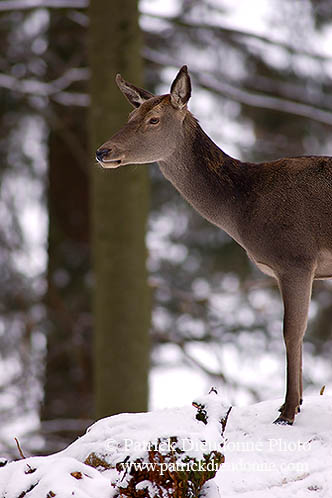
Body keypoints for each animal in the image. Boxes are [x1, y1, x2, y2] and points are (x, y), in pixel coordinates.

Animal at [95, 65, 332, 424]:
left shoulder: (296, 258)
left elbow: (292, 332)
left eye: (154, 119)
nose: (102, 152)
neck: (244, 210)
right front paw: (292, 405)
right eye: (130, 114)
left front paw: (288, 411)